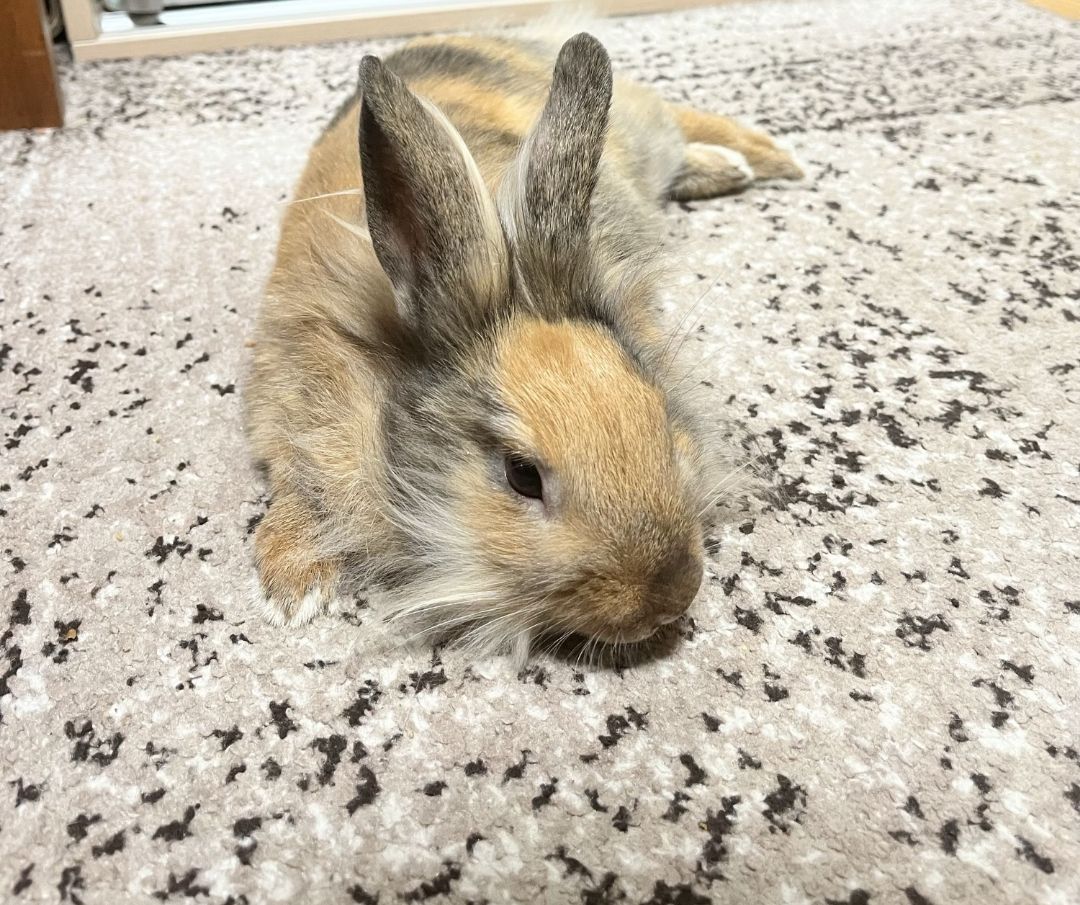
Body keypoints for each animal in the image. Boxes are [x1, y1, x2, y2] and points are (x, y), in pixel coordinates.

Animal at [245, 29, 802, 661]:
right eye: (521, 475)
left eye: (660, 420)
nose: (667, 601)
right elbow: (296, 484)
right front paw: (292, 591)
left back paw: (767, 160)